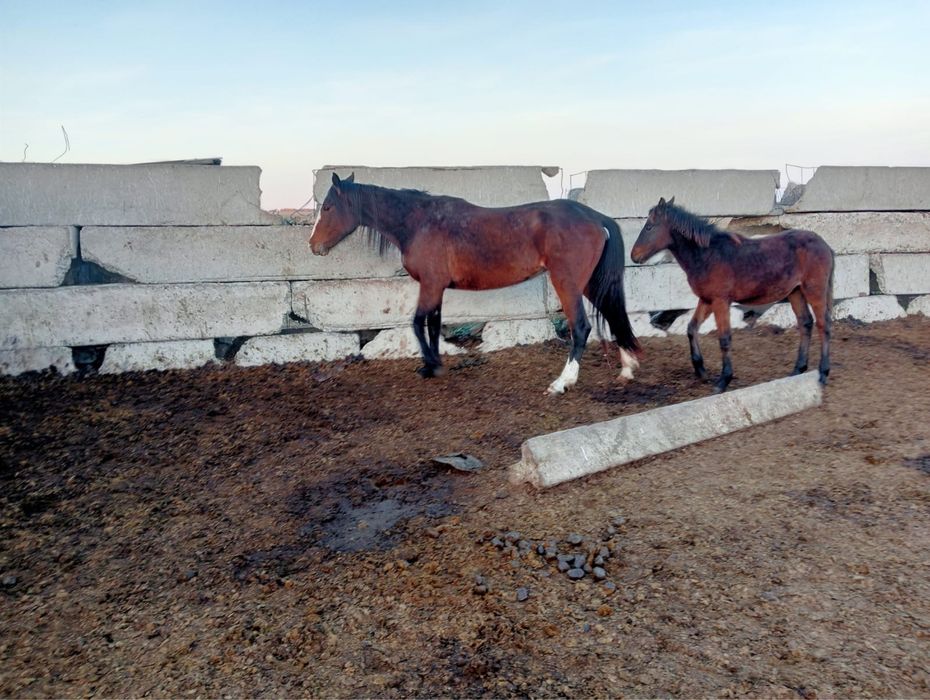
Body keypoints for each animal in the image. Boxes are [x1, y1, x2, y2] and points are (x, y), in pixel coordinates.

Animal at [309, 172, 641, 395]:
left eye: (327, 207)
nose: (313, 245)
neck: (419, 223)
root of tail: (595, 217)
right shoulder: (437, 288)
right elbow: (433, 323)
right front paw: (434, 363)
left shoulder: (430, 285)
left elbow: (417, 322)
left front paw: (431, 365)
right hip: (590, 283)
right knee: (613, 314)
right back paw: (627, 368)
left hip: (567, 283)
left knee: (581, 327)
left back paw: (562, 382)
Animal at [630, 197, 834, 392]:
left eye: (649, 227)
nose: (634, 256)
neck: (708, 255)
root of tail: (825, 245)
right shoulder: (706, 300)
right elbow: (691, 328)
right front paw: (701, 370)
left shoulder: (720, 301)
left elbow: (724, 339)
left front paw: (723, 381)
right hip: (795, 292)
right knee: (805, 323)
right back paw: (798, 369)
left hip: (814, 290)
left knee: (823, 325)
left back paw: (823, 373)